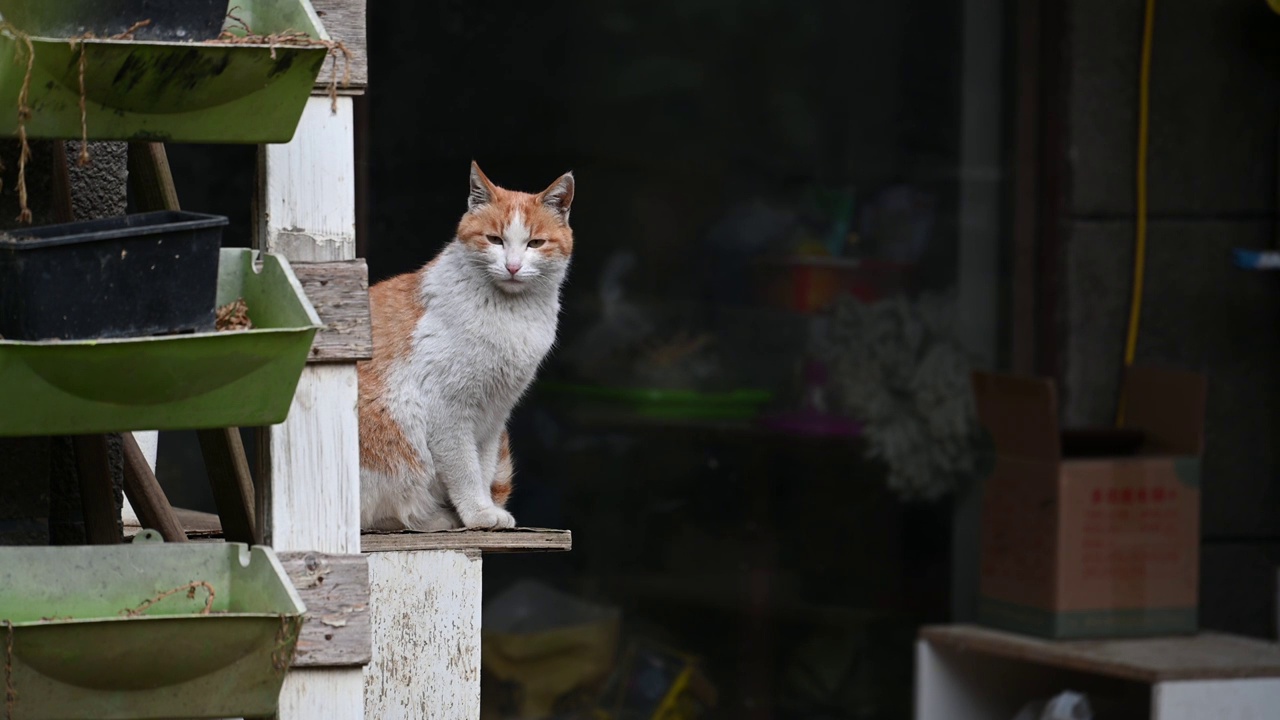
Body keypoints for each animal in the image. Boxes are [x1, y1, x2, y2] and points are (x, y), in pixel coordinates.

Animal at [360, 163, 581, 532]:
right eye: (494, 240)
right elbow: (464, 469)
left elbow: (484, 466)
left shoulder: (494, 414)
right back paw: (430, 519)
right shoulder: (447, 409)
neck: (510, 313)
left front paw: (483, 509)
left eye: (535, 243)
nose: (513, 266)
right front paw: (479, 513)